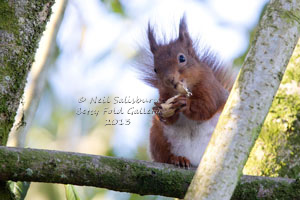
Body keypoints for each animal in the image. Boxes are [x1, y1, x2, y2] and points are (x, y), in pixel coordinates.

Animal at [137, 16, 237, 167]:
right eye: (155, 69)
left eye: (182, 58)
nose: (170, 80)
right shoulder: (164, 94)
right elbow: (169, 118)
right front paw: (158, 109)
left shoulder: (210, 88)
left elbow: (206, 107)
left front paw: (185, 103)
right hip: (158, 137)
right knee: (165, 156)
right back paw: (178, 159)